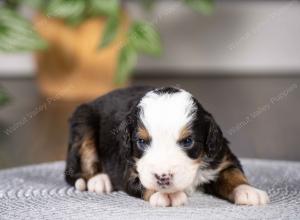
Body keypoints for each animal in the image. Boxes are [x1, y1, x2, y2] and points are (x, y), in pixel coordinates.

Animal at [66, 85, 270, 206]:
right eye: (141, 141)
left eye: (188, 141)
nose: (163, 177)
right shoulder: (130, 168)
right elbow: (143, 182)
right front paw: (167, 194)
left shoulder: (221, 157)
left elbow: (233, 175)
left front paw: (248, 191)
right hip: (83, 123)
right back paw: (98, 180)